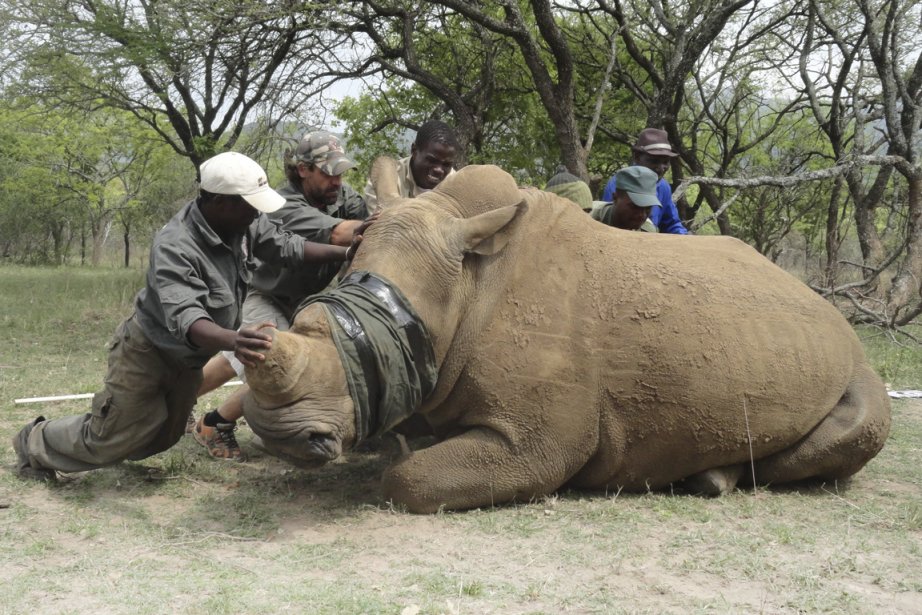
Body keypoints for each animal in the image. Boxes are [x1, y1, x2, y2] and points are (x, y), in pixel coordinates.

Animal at [241, 156, 888, 512]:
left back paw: (712, 478)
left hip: (854, 364)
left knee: (859, 424)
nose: (279, 435)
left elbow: (408, 479)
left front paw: (402, 458)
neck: (466, 282)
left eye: (385, 334)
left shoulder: (539, 442)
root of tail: (825, 307)